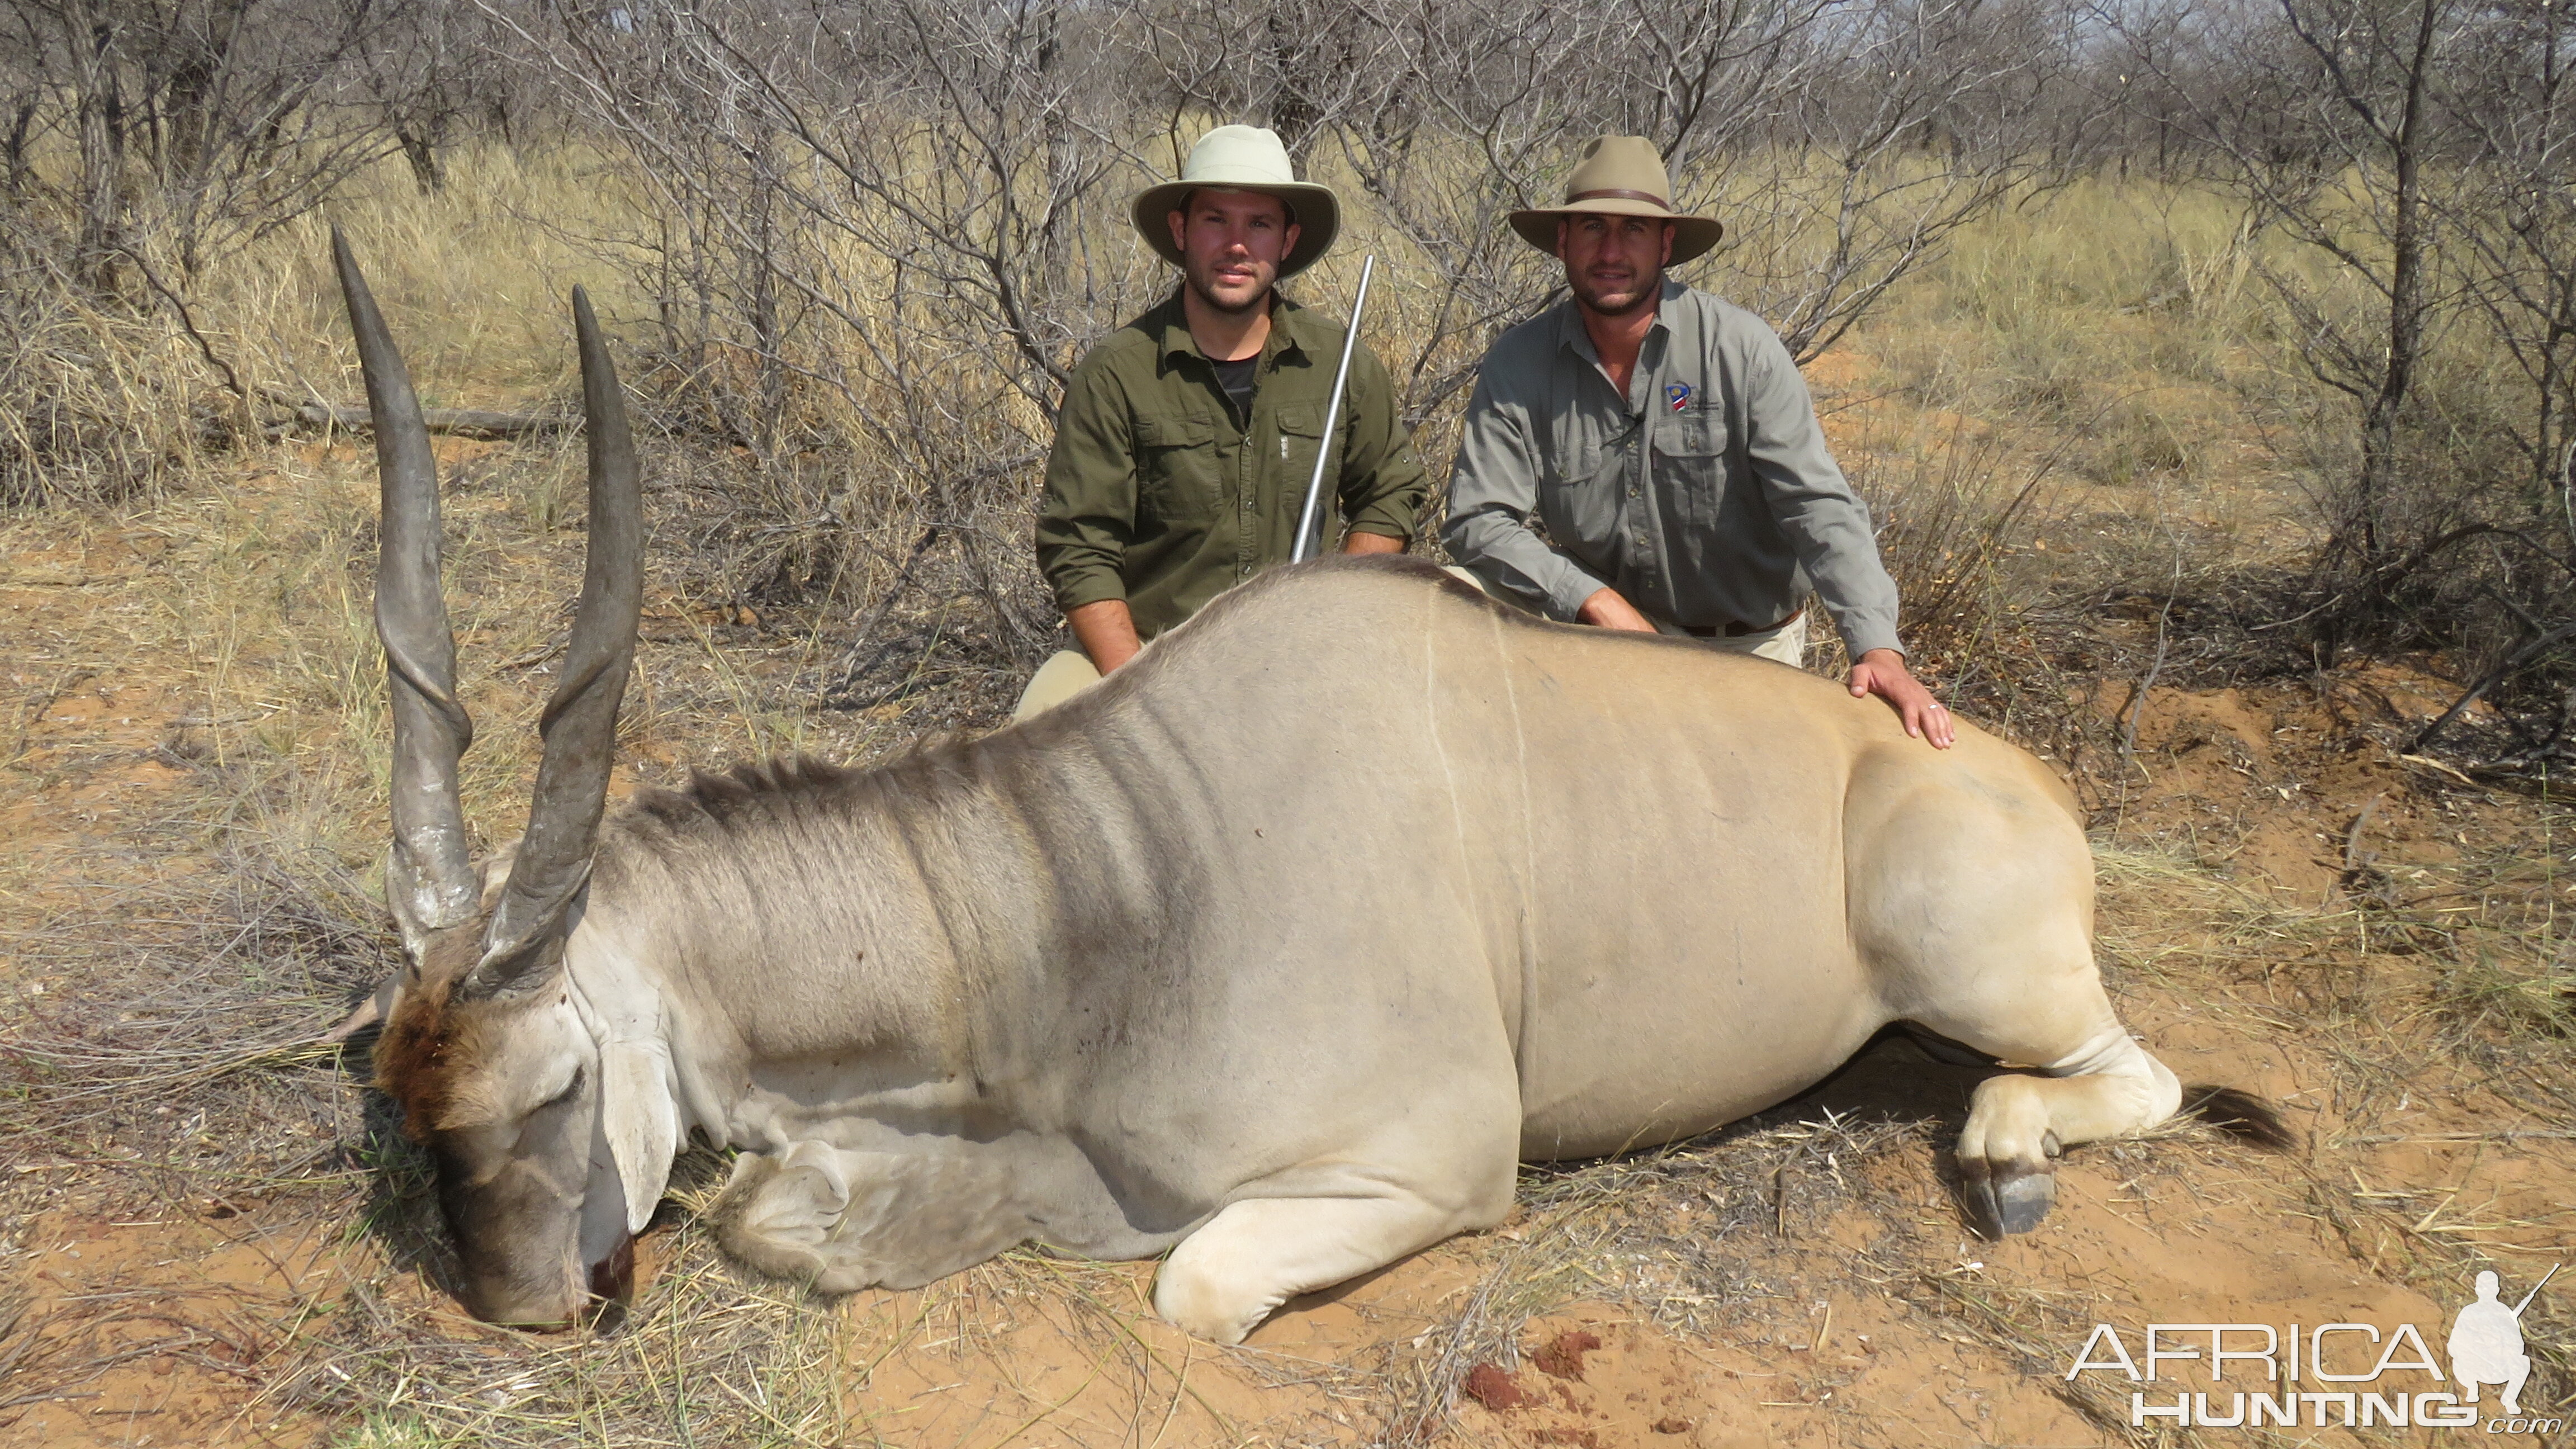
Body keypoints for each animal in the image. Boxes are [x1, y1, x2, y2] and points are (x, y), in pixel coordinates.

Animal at [332, 239, 2287, 1341]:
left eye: (560, 1081)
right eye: (391, 1085)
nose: (524, 1307)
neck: (1105, 887)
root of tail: (2012, 772)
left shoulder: (1428, 1166)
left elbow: (1190, 1278)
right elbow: (791, 1215)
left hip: (1982, 971)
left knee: (2135, 1075)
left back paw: (2008, 1155)